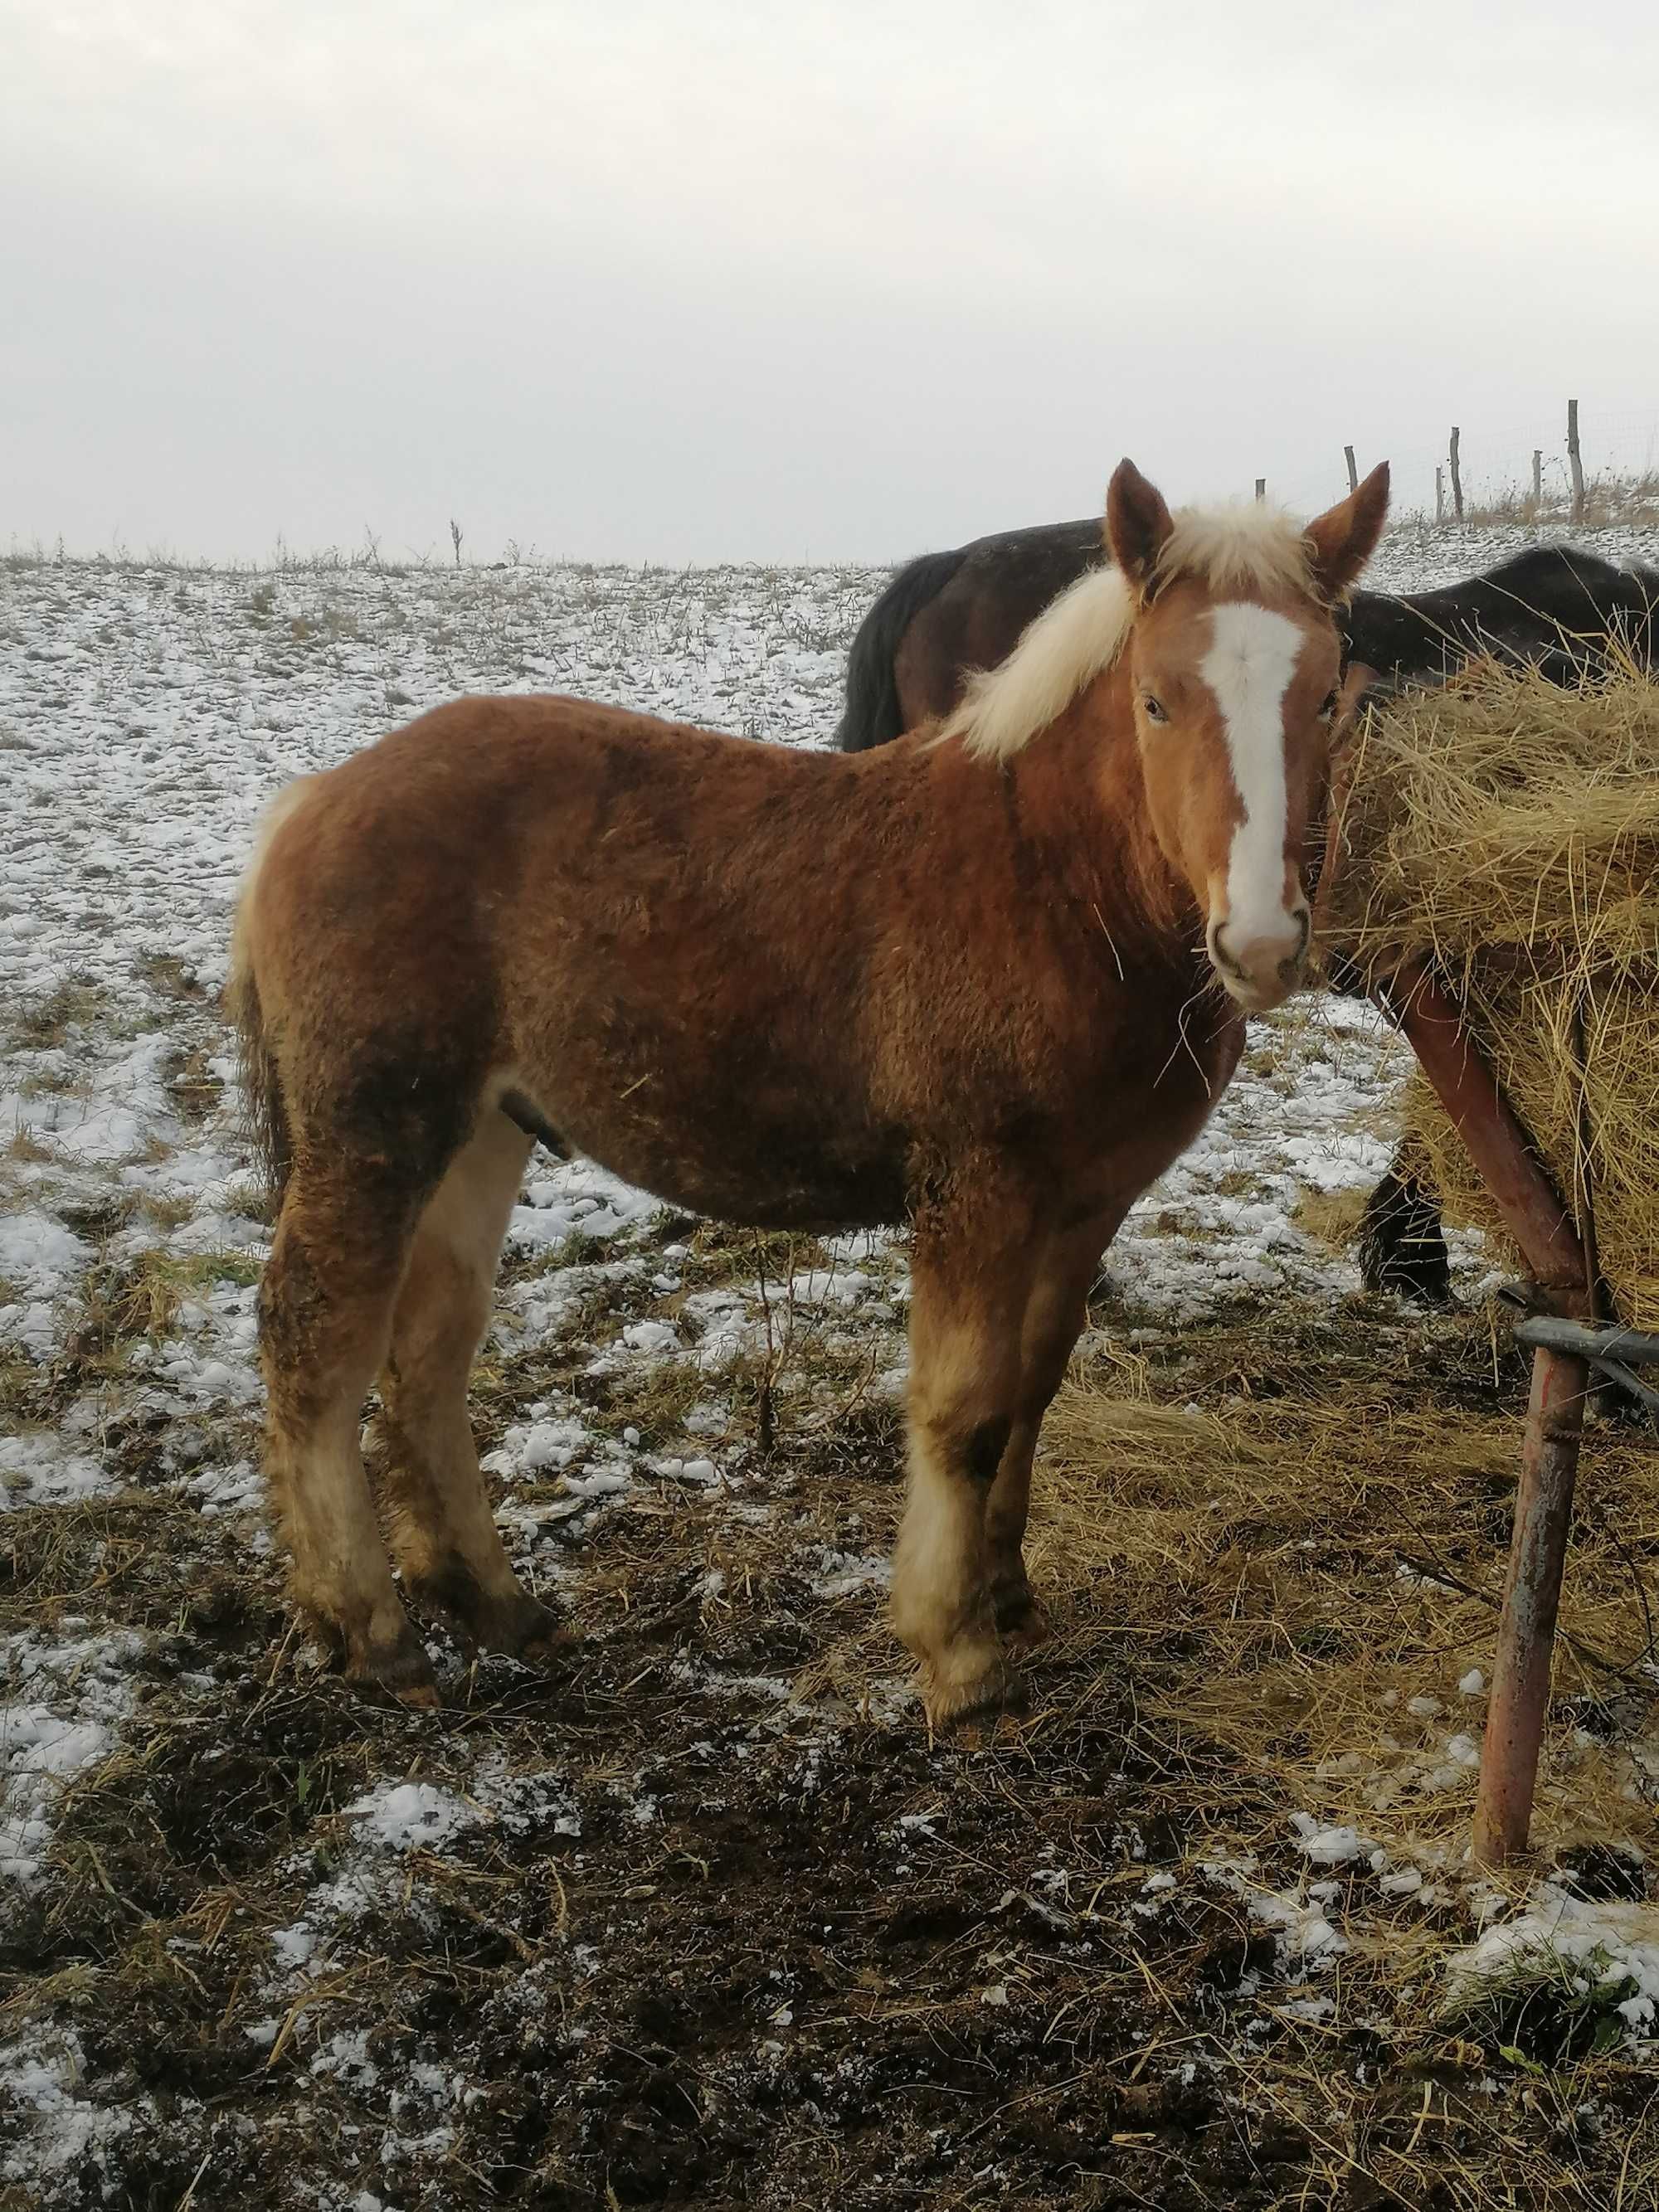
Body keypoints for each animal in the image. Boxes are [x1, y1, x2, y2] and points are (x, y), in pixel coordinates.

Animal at [224, 453, 1389, 1725]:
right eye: (1157, 701)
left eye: (1324, 698)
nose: (1262, 944)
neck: (1054, 883)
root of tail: (312, 799)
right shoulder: (976, 1190)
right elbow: (963, 1409)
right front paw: (956, 1655)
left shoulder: (1087, 1200)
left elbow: (1032, 1390)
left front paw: (1009, 1592)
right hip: (373, 1132)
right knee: (315, 1345)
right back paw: (374, 1629)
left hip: (478, 1131)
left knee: (429, 1348)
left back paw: (493, 1603)